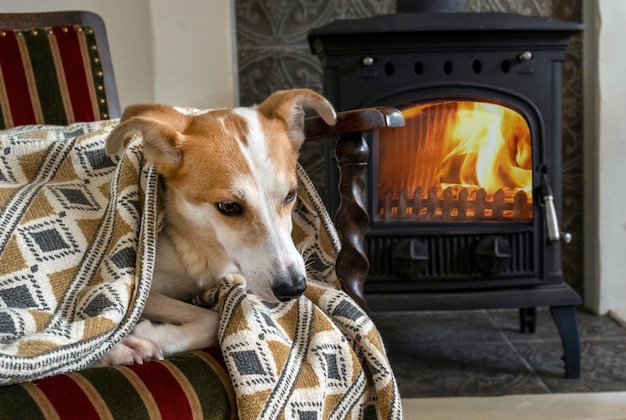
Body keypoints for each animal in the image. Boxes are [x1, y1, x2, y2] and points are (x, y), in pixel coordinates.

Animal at [97, 89, 336, 368]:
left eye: (290, 195)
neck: (193, 245)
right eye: (229, 206)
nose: (294, 288)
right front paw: (137, 337)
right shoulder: (142, 292)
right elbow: (211, 320)